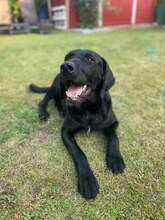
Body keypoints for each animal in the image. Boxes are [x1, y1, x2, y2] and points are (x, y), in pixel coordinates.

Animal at [29, 49, 125, 199]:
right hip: (56, 86)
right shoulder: (66, 132)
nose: (65, 66)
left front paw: (115, 159)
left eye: (90, 59)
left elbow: (114, 138)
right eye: (68, 57)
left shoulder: (113, 123)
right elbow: (79, 154)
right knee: (43, 101)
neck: (88, 109)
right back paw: (44, 113)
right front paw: (87, 180)